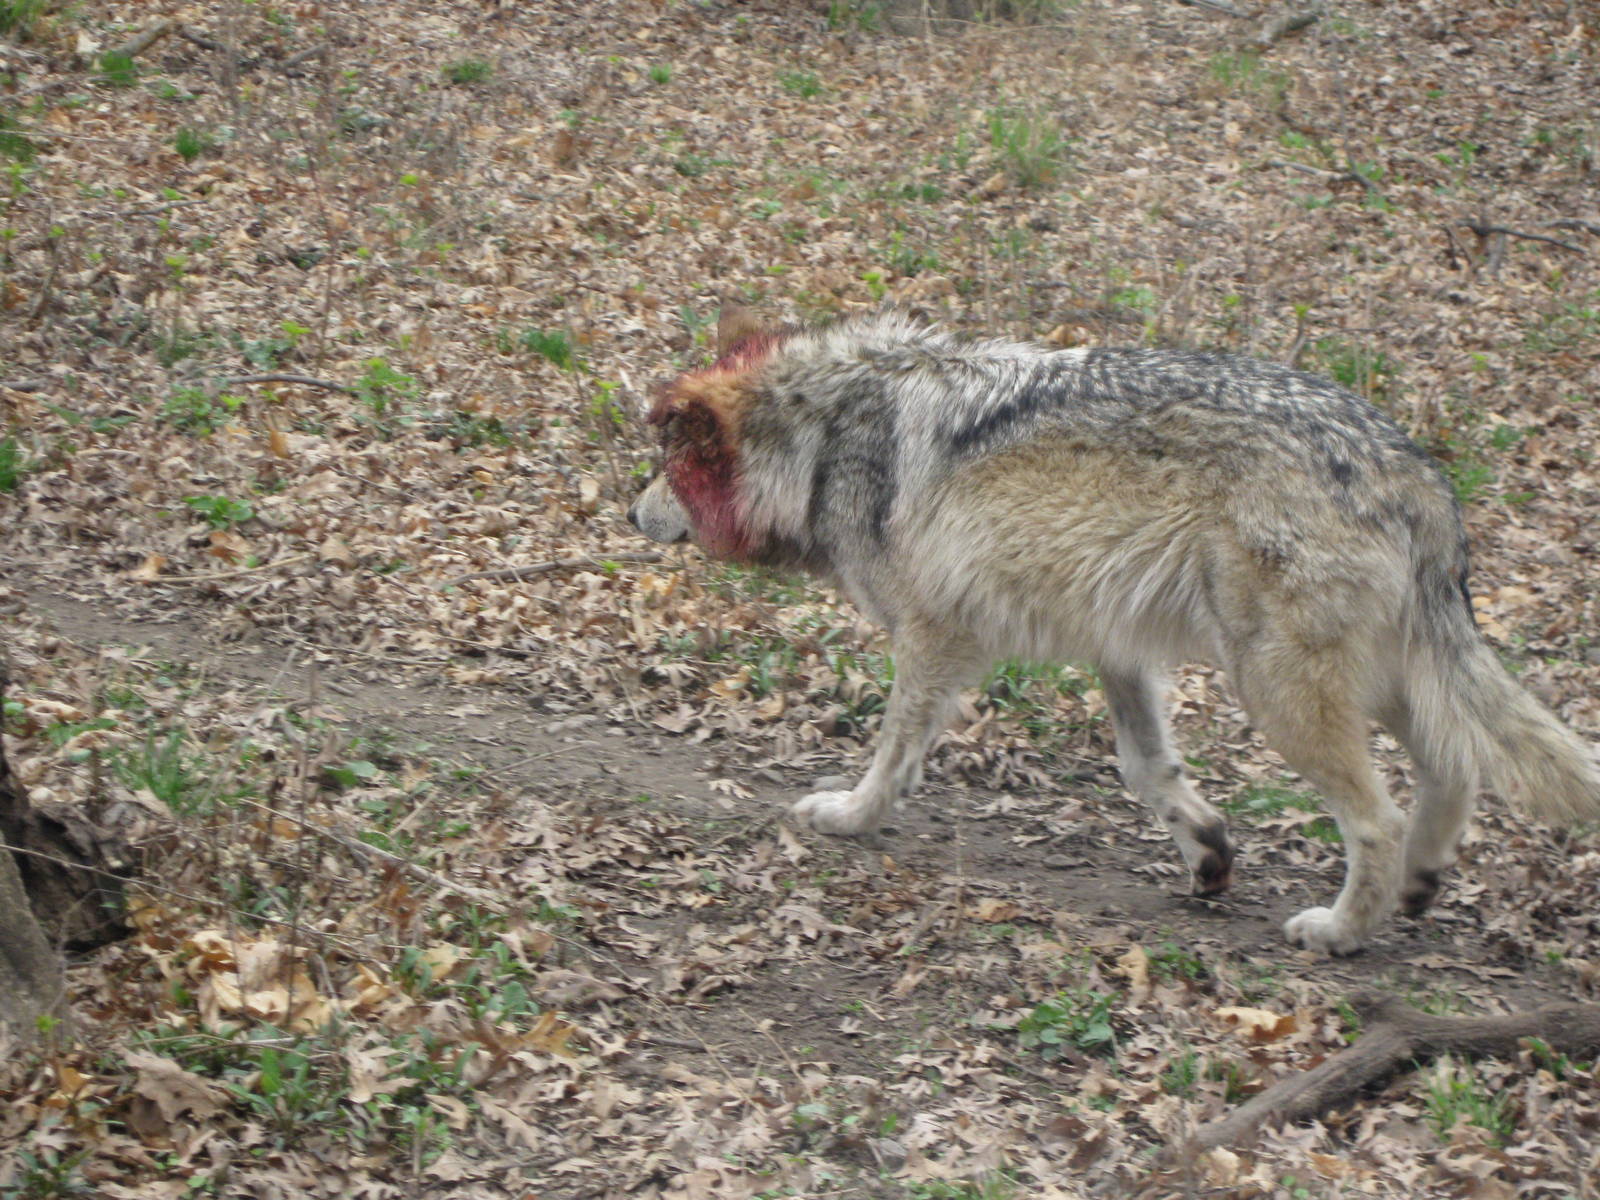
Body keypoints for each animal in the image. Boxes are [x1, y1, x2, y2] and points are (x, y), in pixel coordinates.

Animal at [627, 306, 1600, 955]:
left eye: (666, 470)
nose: (631, 514)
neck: (824, 440)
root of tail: (1417, 470)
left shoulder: (934, 639)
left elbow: (892, 753)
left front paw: (852, 817)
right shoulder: (1118, 651)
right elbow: (1148, 770)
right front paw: (1207, 854)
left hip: (1279, 689)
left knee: (1381, 818)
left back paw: (1340, 930)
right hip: (1370, 680)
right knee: (1456, 765)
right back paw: (1420, 885)